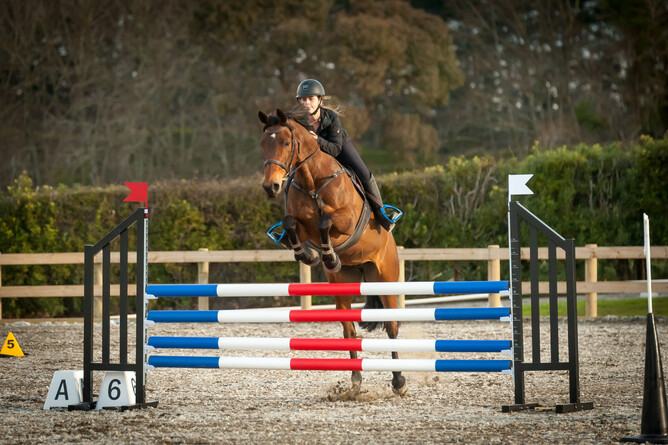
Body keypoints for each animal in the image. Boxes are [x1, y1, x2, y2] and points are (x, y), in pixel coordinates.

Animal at [258, 107, 406, 396]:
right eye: (262, 144)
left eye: (286, 143)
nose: (271, 187)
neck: (312, 181)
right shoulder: (300, 224)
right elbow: (291, 223)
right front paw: (310, 255)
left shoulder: (346, 221)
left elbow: (326, 221)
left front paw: (327, 254)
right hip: (343, 284)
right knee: (349, 331)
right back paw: (355, 382)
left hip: (384, 278)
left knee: (392, 327)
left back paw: (399, 381)